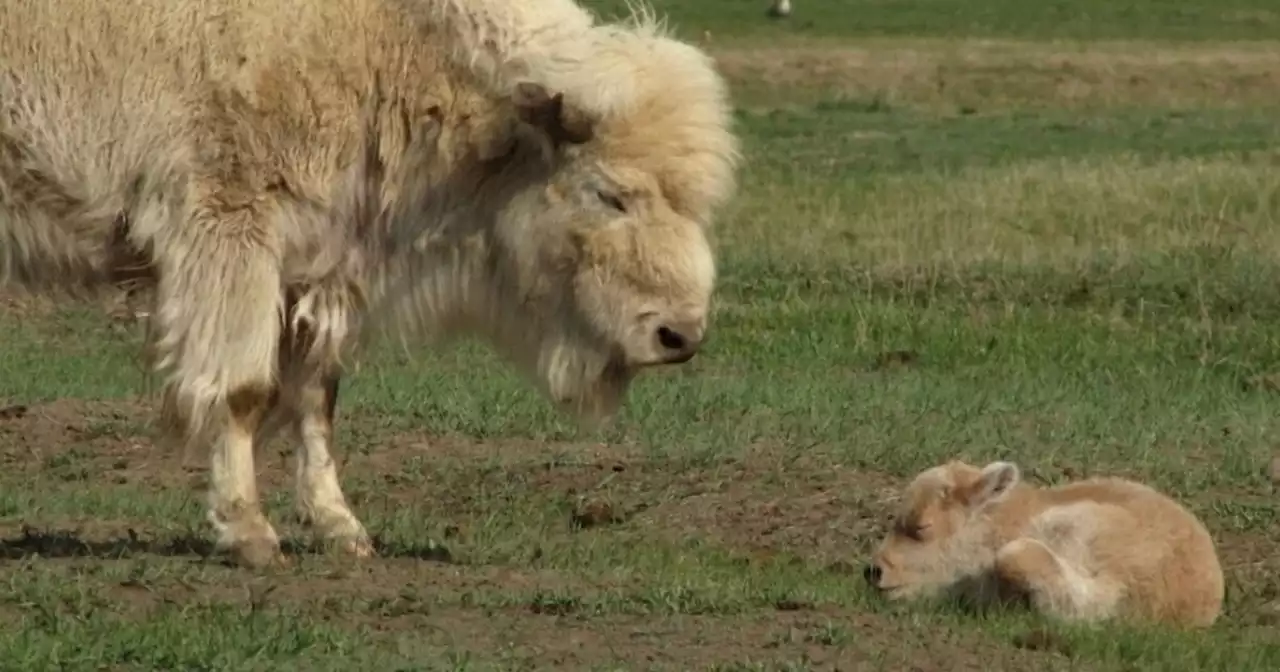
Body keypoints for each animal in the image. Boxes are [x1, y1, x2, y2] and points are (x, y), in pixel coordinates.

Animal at [0, 0, 742, 565]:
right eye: (610, 194)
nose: (679, 334)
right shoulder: (233, 239)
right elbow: (243, 389)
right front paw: (251, 533)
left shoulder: (316, 270)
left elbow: (313, 399)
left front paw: (341, 529)